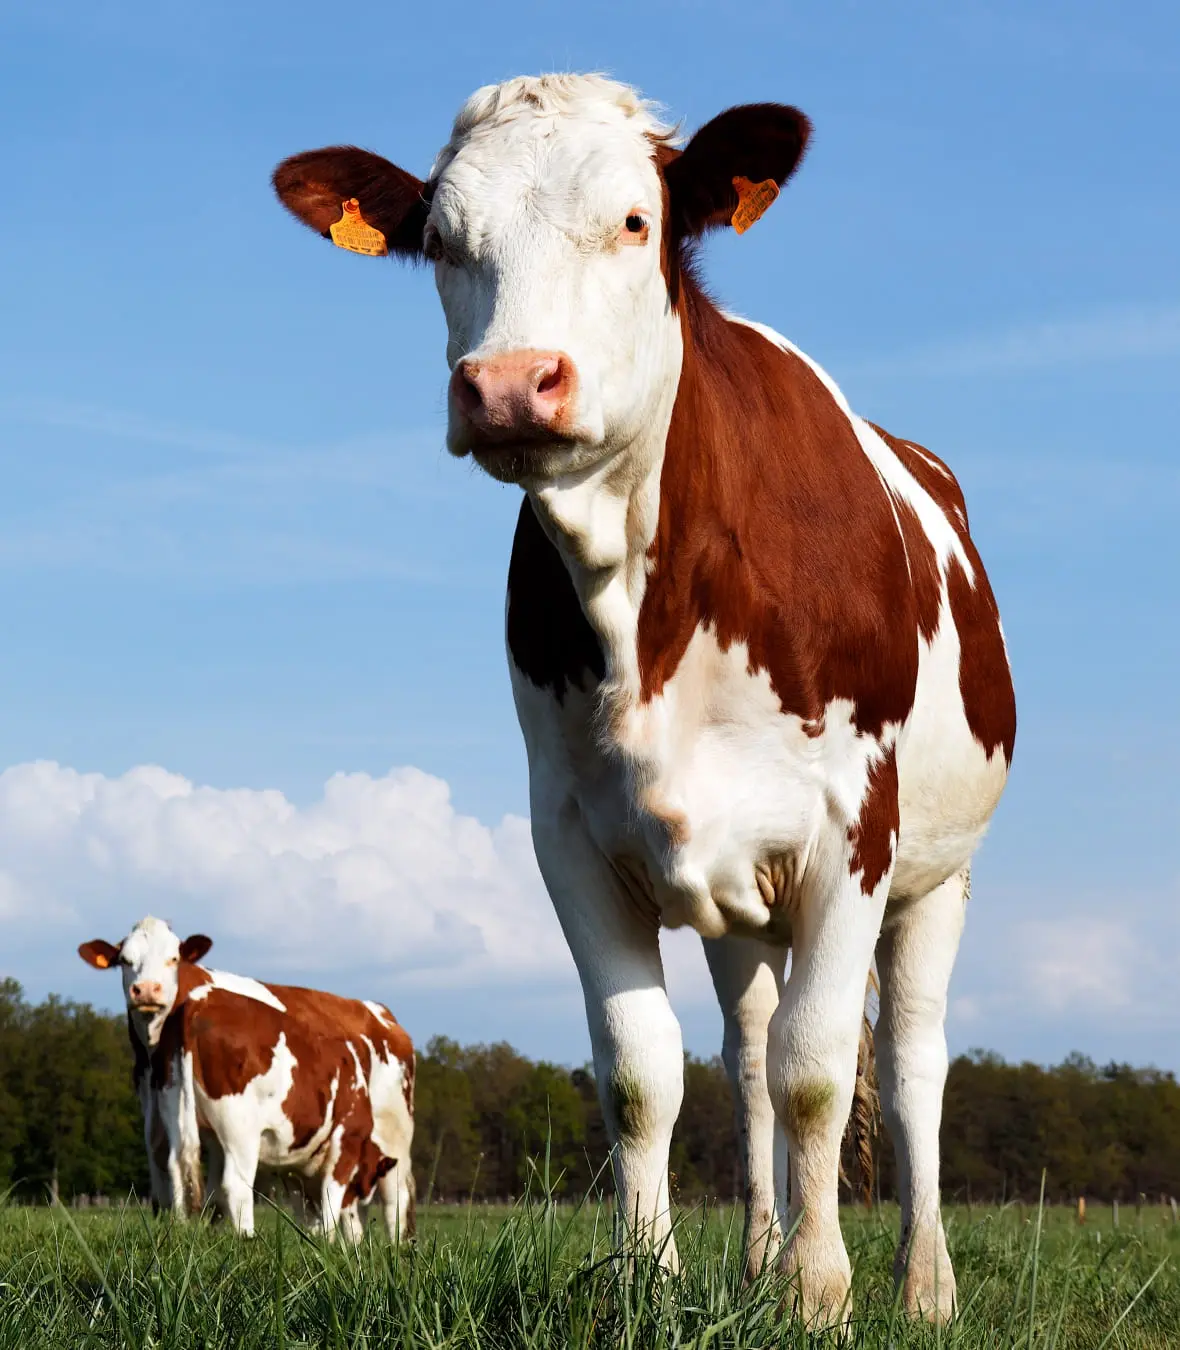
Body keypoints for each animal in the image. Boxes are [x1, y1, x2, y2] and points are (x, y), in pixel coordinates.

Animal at [79, 917, 415, 1242]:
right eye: (125, 960)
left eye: (173, 958)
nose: (147, 990)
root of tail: (382, 1014)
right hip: (241, 1127)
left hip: (393, 1132)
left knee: (395, 1197)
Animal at [272, 73, 1016, 1322]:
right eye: (441, 240)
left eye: (633, 222)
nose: (507, 384)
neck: (646, 604)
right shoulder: (571, 835)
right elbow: (641, 1075)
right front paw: (650, 1279)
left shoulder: (849, 831)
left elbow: (820, 1074)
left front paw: (820, 1292)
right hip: (742, 906)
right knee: (747, 1053)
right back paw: (760, 1255)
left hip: (937, 878)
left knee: (911, 1063)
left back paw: (922, 1285)